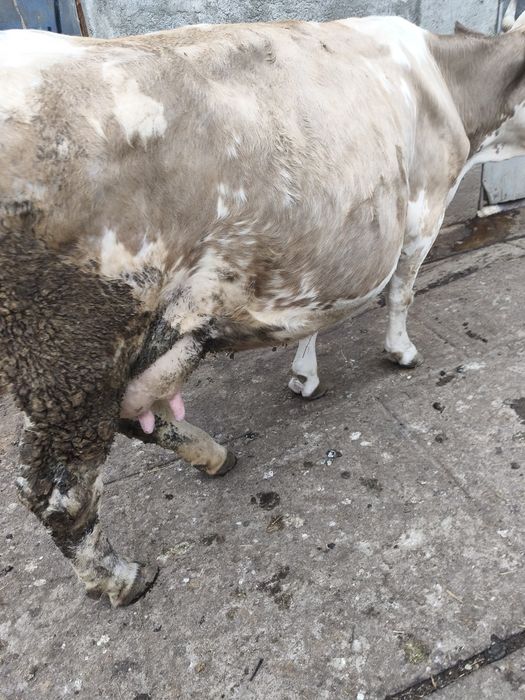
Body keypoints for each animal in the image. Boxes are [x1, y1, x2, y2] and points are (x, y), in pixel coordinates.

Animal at [2, 6, 525, 606]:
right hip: (72, 350)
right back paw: (119, 576)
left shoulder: (324, 250)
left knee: (134, 417)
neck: (449, 80)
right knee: (55, 488)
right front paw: (401, 352)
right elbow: (402, 291)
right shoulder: (424, 212)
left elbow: (315, 315)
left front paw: (304, 373)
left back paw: (212, 454)